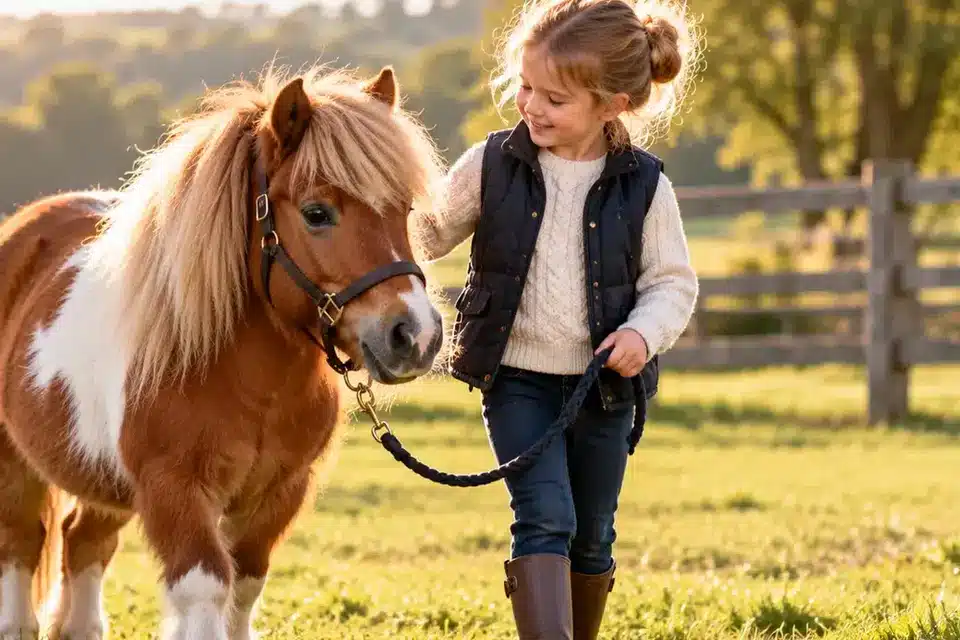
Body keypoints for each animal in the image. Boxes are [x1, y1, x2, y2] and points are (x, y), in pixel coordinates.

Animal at [0, 62, 445, 639]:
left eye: (403, 209)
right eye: (316, 212)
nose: (415, 335)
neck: (247, 381)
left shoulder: (278, 493)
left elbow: (246, 584)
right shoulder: (175, 491)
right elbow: (206, 588)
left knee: (82, 542)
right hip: (15, 461)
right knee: (23, 541)